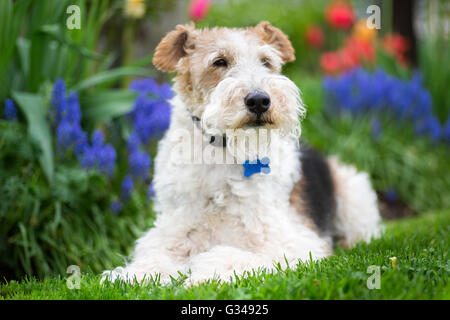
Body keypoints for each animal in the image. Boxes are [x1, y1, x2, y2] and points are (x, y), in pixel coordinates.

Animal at [103, 21, 384, 284]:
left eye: (266, 61)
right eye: (219, 61)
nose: (259, 101)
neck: (222, 154)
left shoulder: (290, 242)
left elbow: (230, 256)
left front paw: (200, 277)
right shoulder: (172, 232)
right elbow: (154, 257)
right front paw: (131, 275)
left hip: (353, 194)